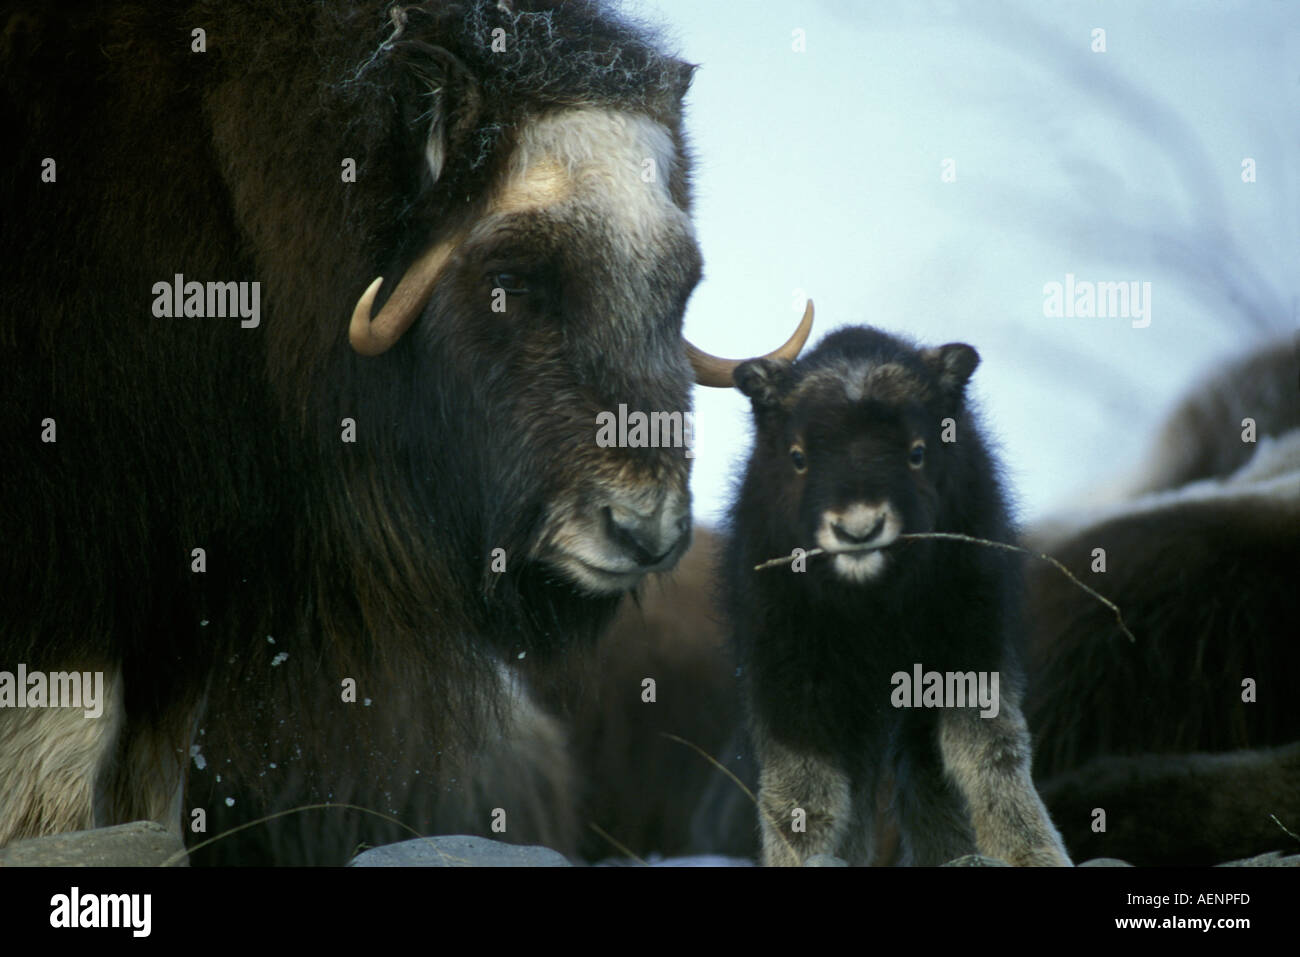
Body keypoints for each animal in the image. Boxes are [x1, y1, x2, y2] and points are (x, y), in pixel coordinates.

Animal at [722, 323, 1066, 868]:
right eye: (798, 457)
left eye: (917, 452)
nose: (859, 530)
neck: (872, 601)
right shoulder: (789, 676)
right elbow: (803, 793)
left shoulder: (970, 646)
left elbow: (988, 754)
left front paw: (1033, 854)